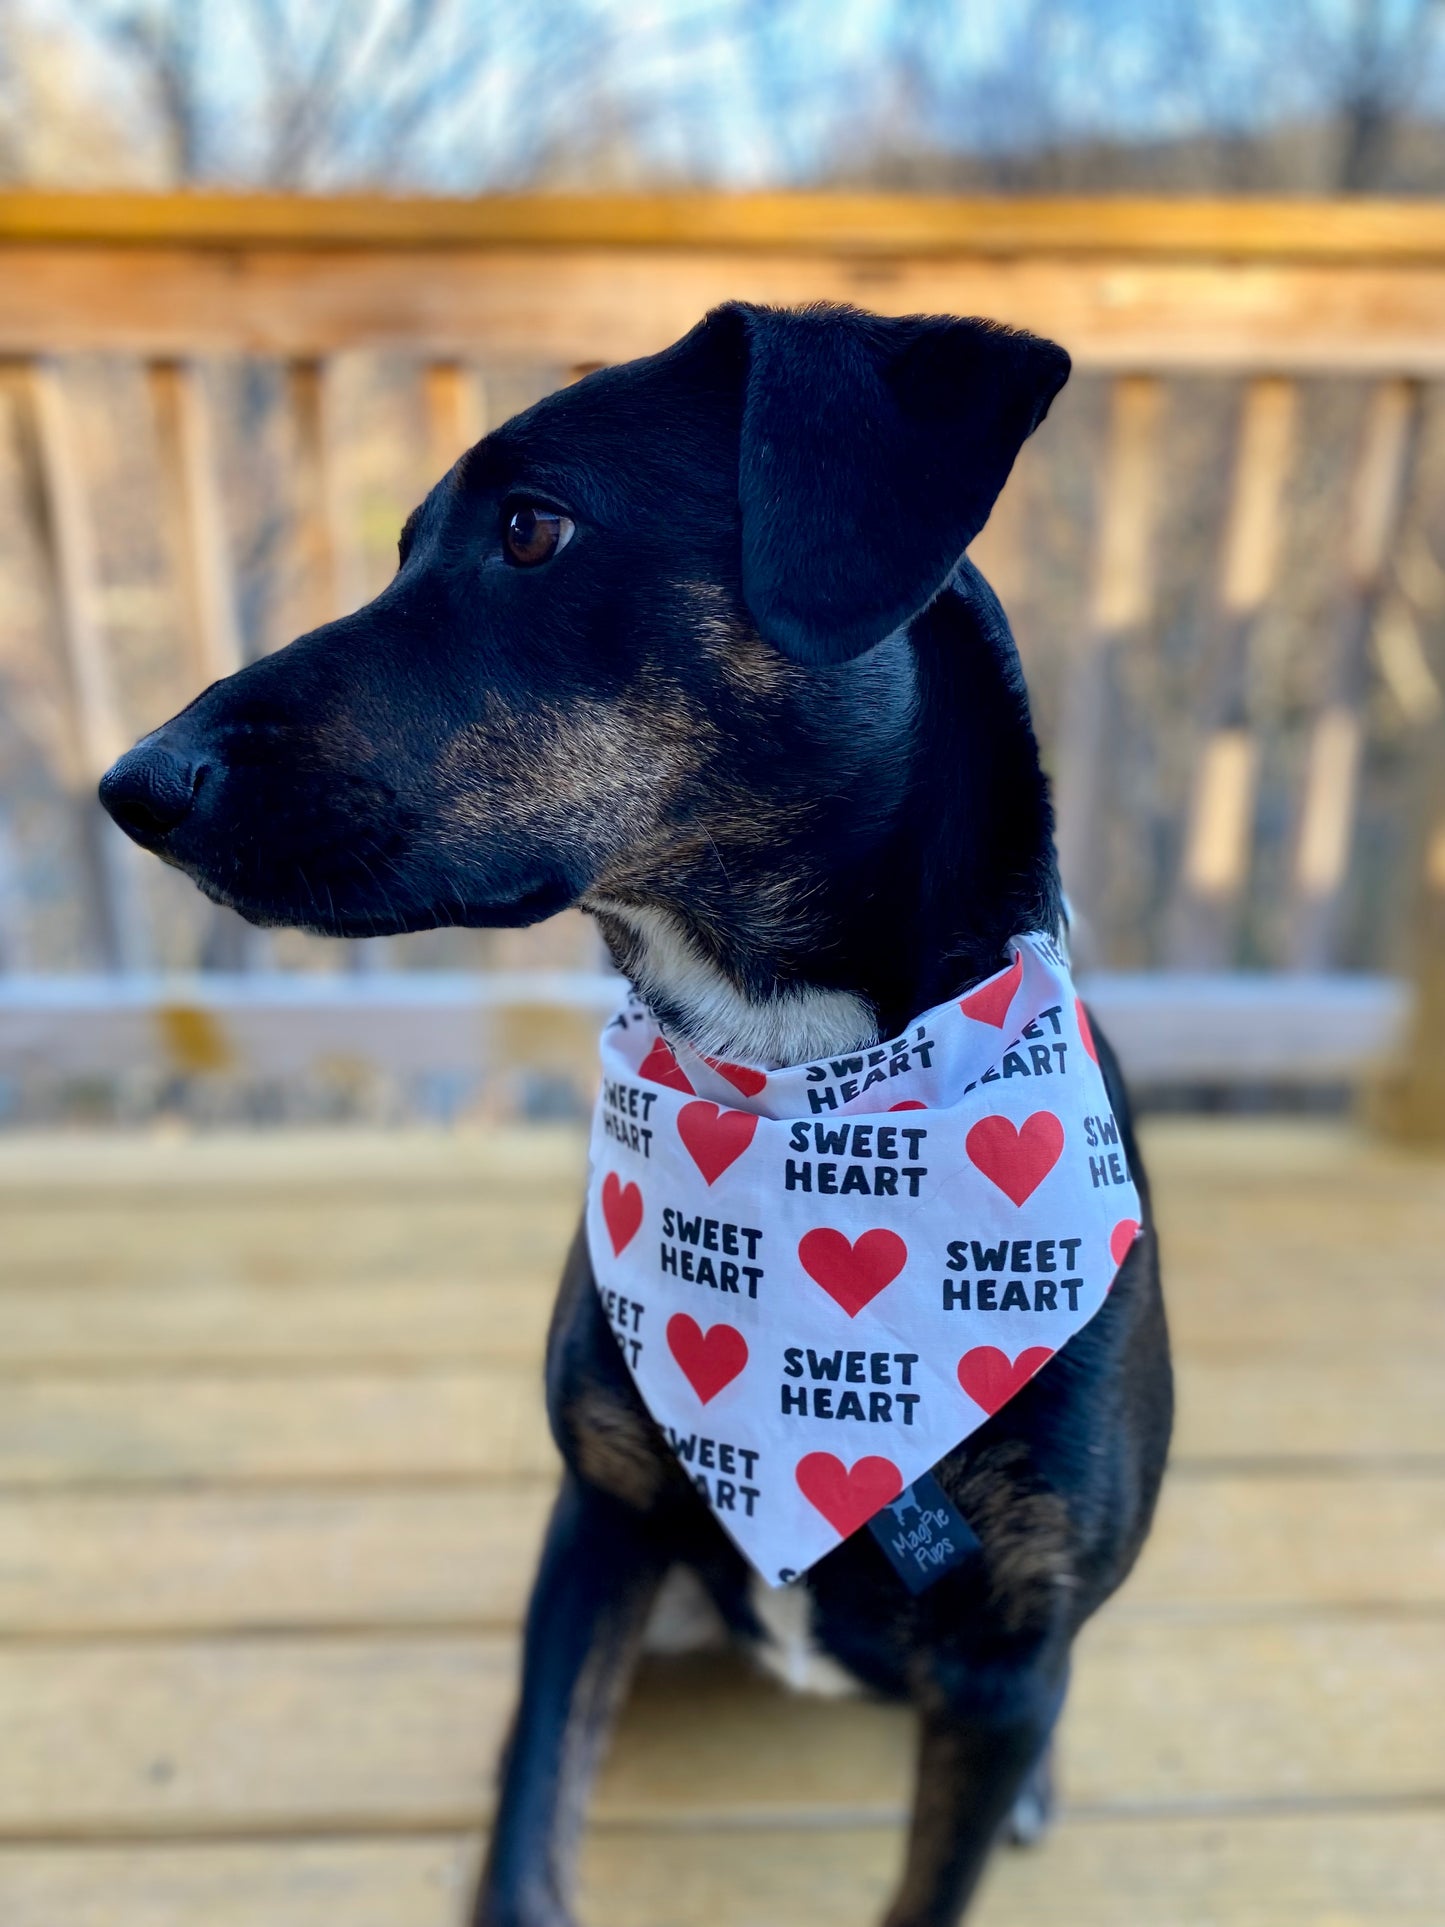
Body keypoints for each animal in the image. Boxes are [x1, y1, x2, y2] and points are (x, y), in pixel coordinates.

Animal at [102, 300, 1171, 1927]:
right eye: (404, 549)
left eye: (534, 528)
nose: (132, 784)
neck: (797, 1087)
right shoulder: (596, 1523)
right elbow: (530, 1833)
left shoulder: (1000, 1658)